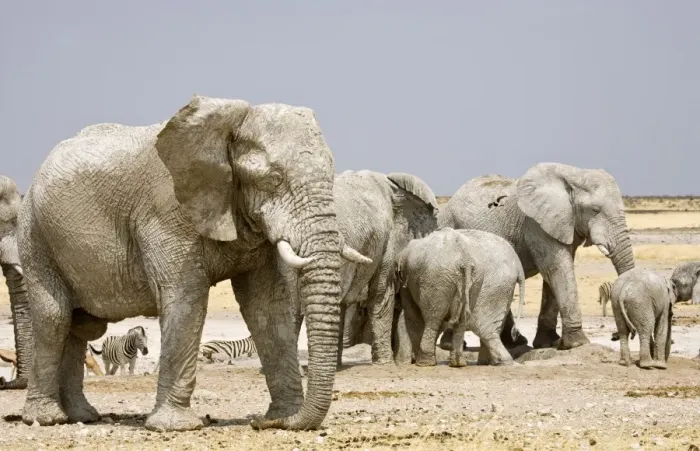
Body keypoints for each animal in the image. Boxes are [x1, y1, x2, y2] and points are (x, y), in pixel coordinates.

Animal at [17, 95, 369, 432]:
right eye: (273, 179)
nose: (259, 422)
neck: (226, 125)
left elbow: (268, 307)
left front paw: (286, 417)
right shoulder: (166, 210)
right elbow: (186, 297)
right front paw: (175, 426)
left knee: (80, 327)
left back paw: (83, 416)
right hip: (34, 235)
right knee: (54, 318)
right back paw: (47, 418)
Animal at [395, 228, 525, 367]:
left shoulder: (407, 280)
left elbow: (412, 315)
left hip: (439, 279)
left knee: (434, 318)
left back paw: (425, 363)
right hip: (481, 281)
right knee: (466, 320)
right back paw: (466, 363)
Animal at [437, 163, 635, 351]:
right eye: (595, 210)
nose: (615, 336)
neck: (573, 174)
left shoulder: (562, 224)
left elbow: (555, 274)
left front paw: (549, 343)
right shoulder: (535, 225)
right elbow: (557, 269)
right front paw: (577, 343)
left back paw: (514, 343)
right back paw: (452, 346)